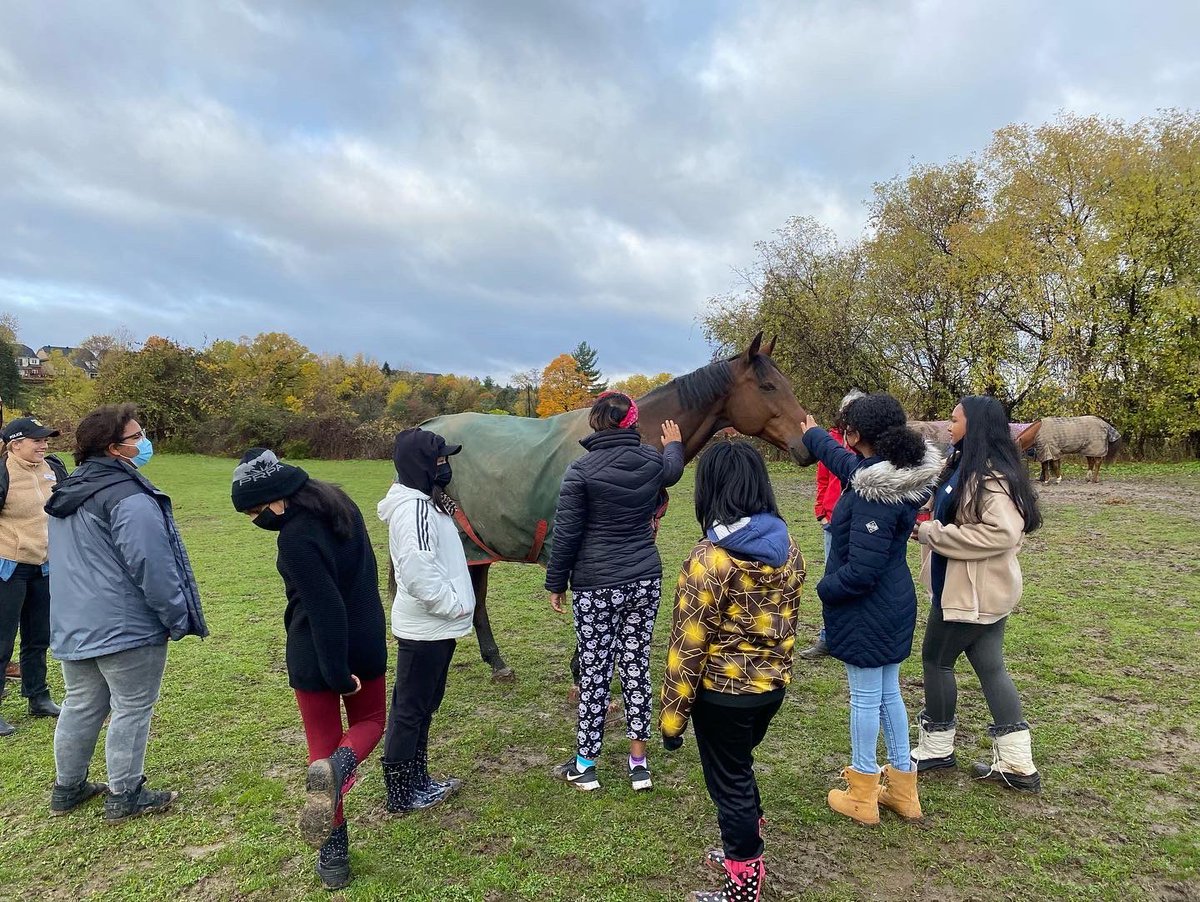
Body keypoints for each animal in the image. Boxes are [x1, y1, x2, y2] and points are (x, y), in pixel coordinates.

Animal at [420, 333, 814, 681]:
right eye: (768, 387)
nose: (807, 443)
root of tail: (429, 426)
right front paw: (583, 670)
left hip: (478, 547)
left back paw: (496, 662)